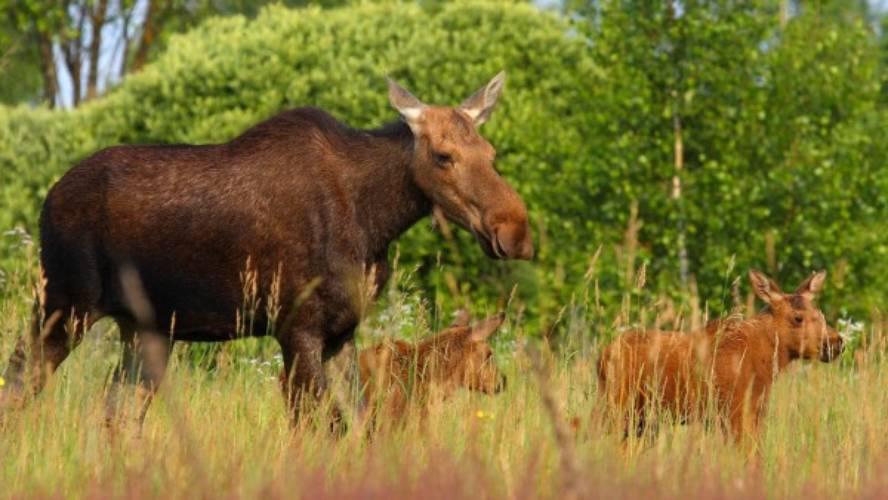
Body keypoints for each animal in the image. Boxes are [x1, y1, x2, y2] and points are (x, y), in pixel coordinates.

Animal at [600, 272, 844, 444]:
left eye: (819, 312)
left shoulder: (754, 413)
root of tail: (601, 355)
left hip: (640, 419)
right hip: (616, 406)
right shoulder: (735, 413)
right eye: (797, 318)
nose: (837, 343)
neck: (766, 361)